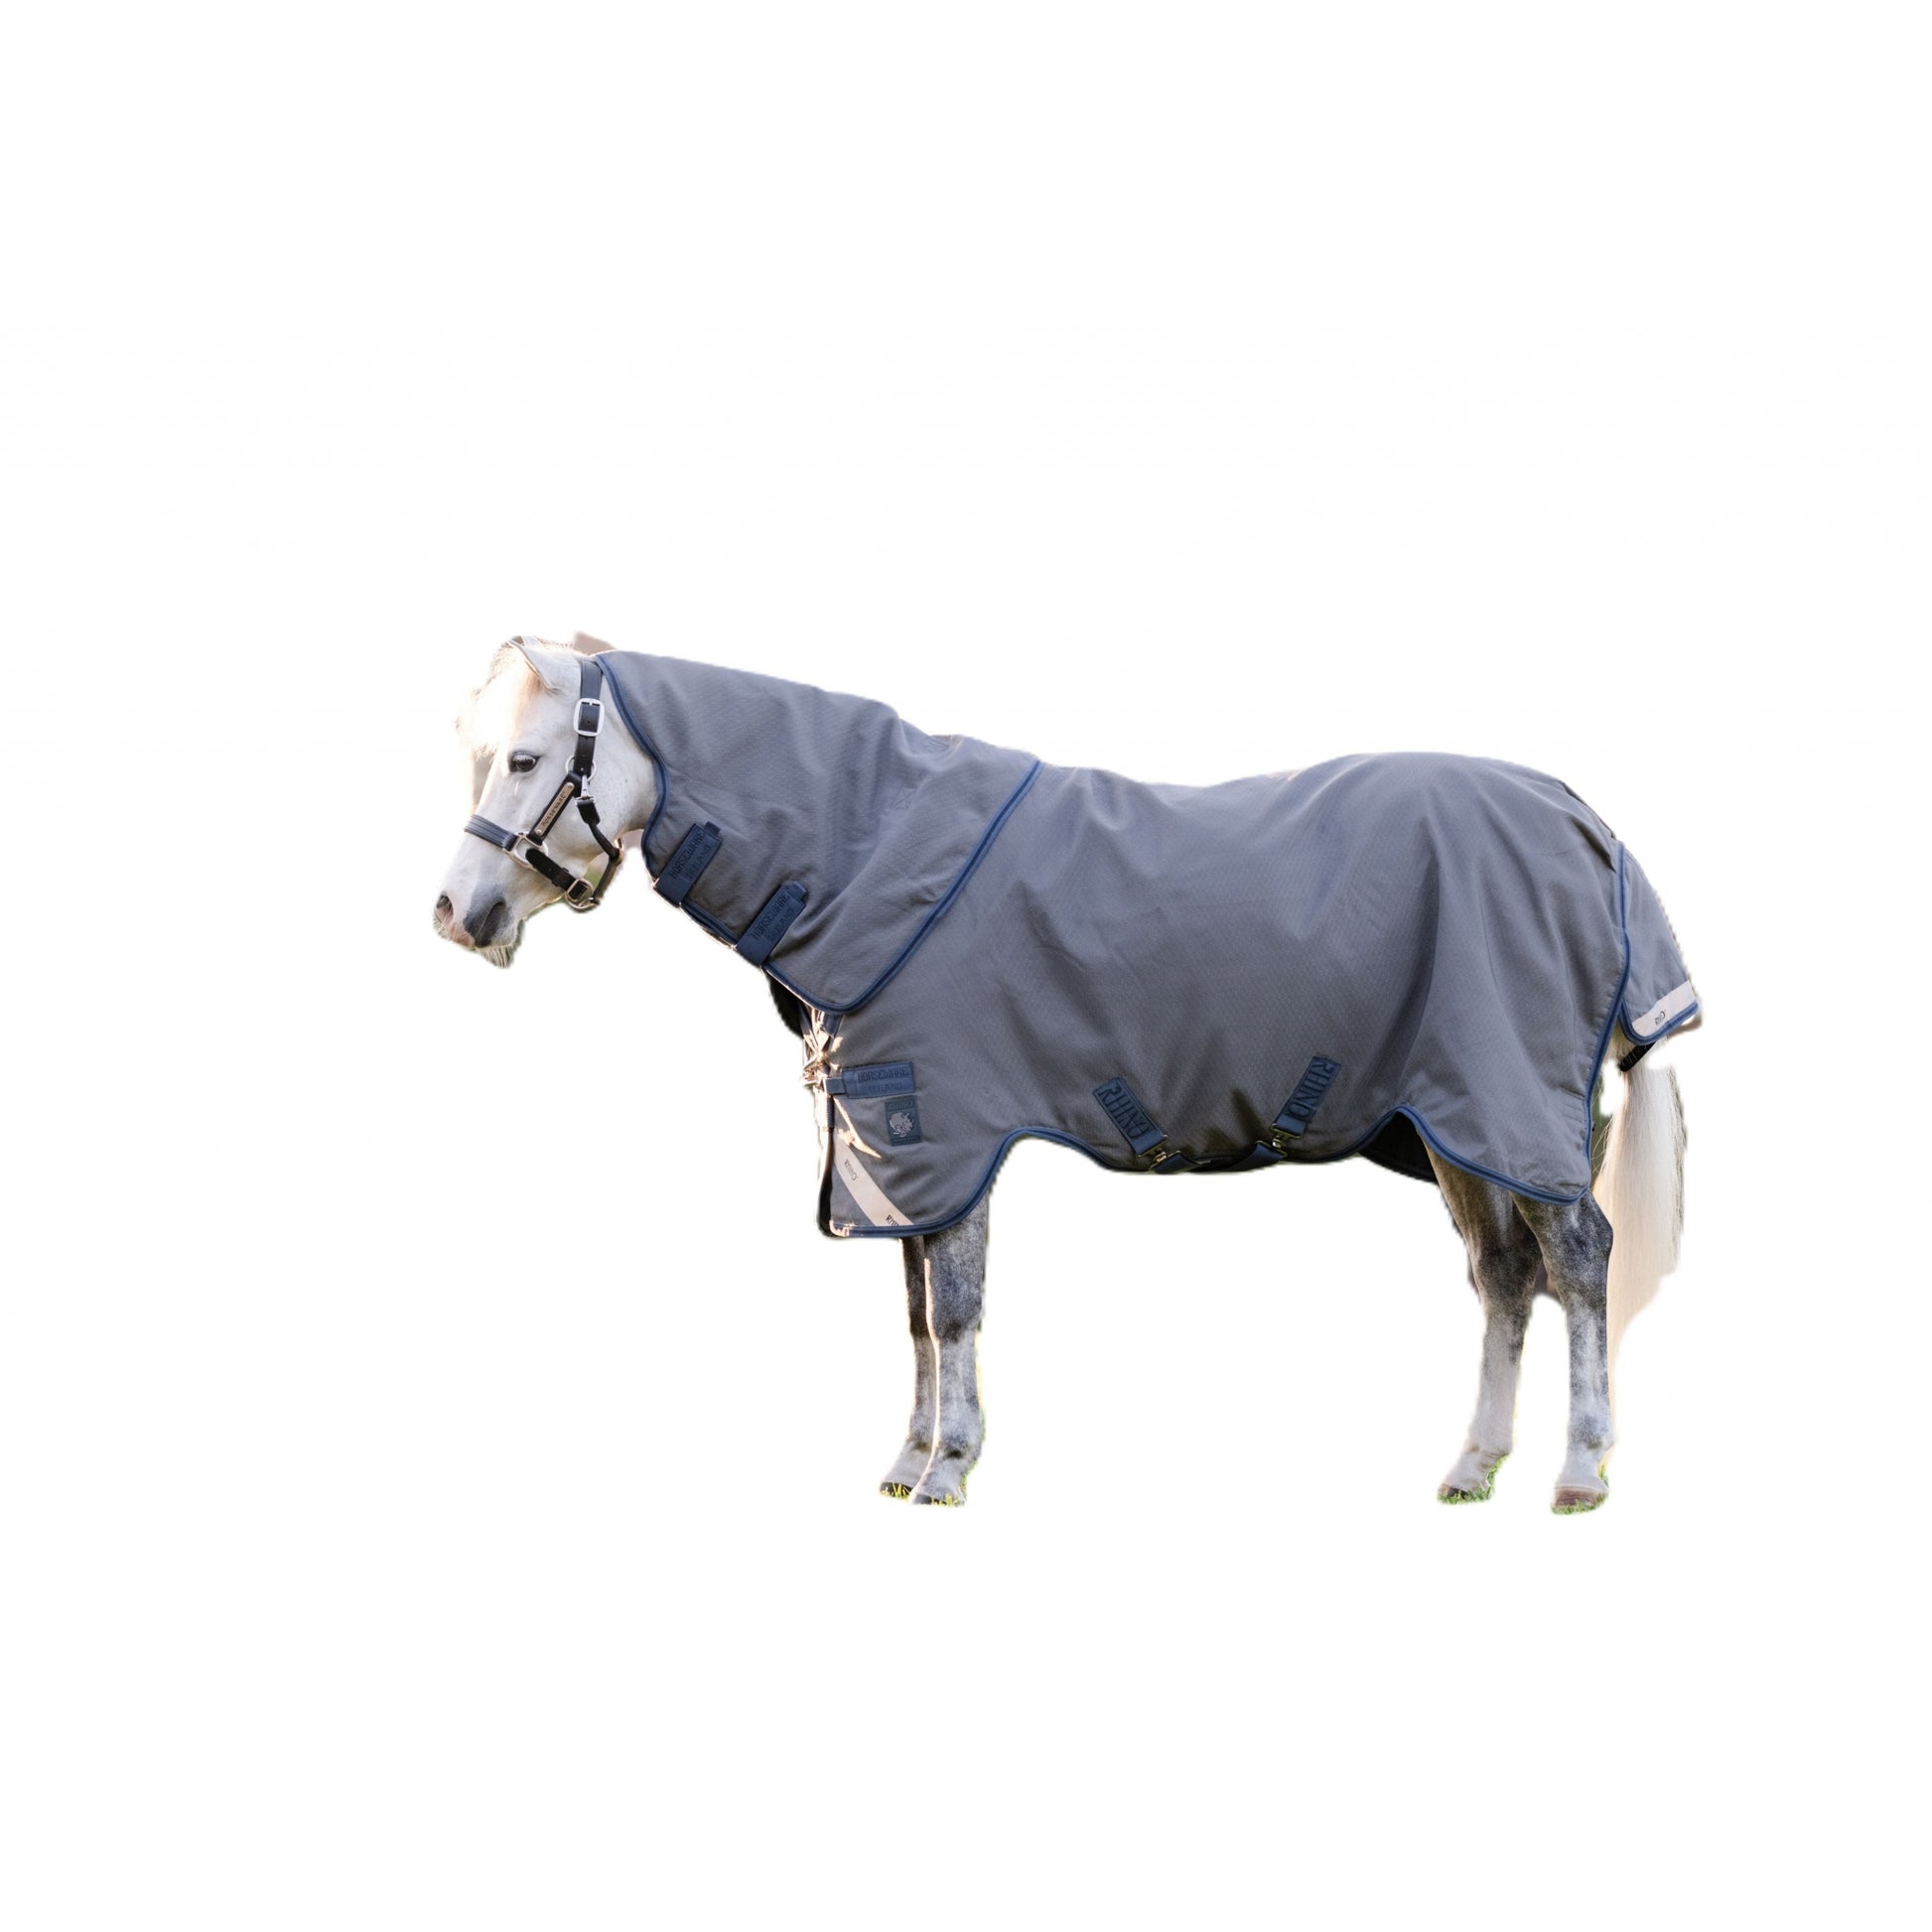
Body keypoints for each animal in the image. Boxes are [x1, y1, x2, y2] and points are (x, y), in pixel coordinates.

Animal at [434, 635, 1695, 1512]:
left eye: (527, 758)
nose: (456, 913)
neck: (870, 855)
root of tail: (1583, 820)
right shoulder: (901, 1152)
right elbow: (915, 1315)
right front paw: (905, 1458)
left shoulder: (942, 1132)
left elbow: (952, 1310)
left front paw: (947, 1468)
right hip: (1455, 1121)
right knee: (1503, 1275)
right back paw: (1473, 1464)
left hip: (1509, 1101)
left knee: (1578, 1258)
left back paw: (1578, 1470)